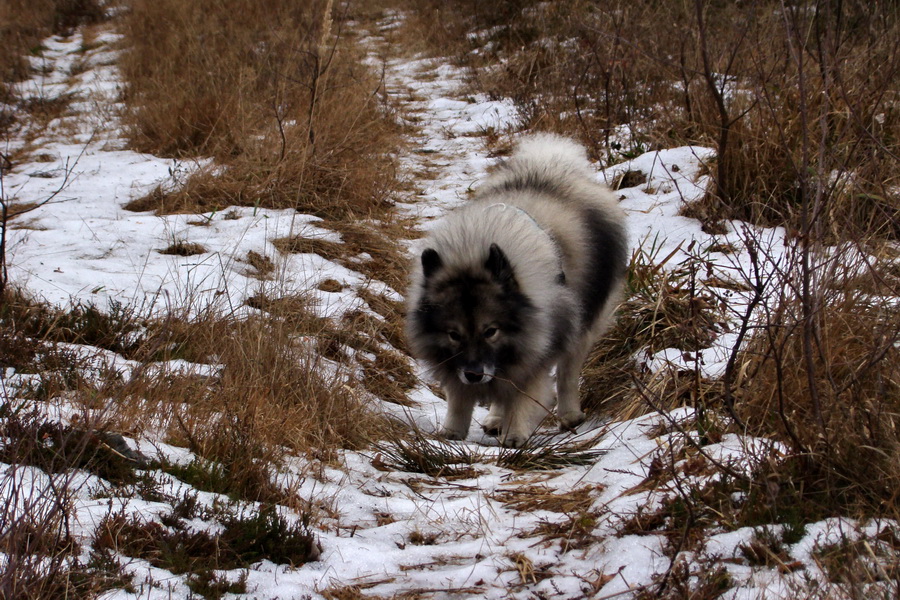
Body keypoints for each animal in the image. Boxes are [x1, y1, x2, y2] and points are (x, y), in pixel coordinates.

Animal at [406, 135, 624, 446]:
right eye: (453, 334)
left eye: (490, 331)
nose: (474, 374)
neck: (474, 252)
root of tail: (555, 167)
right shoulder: (459, 363)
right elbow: (459, 397)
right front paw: (452, 432)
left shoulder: (535, 350)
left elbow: (523, 394)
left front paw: (515, 434)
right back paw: (496, 419)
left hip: (583, 327)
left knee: (568, 375)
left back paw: (569, 415)